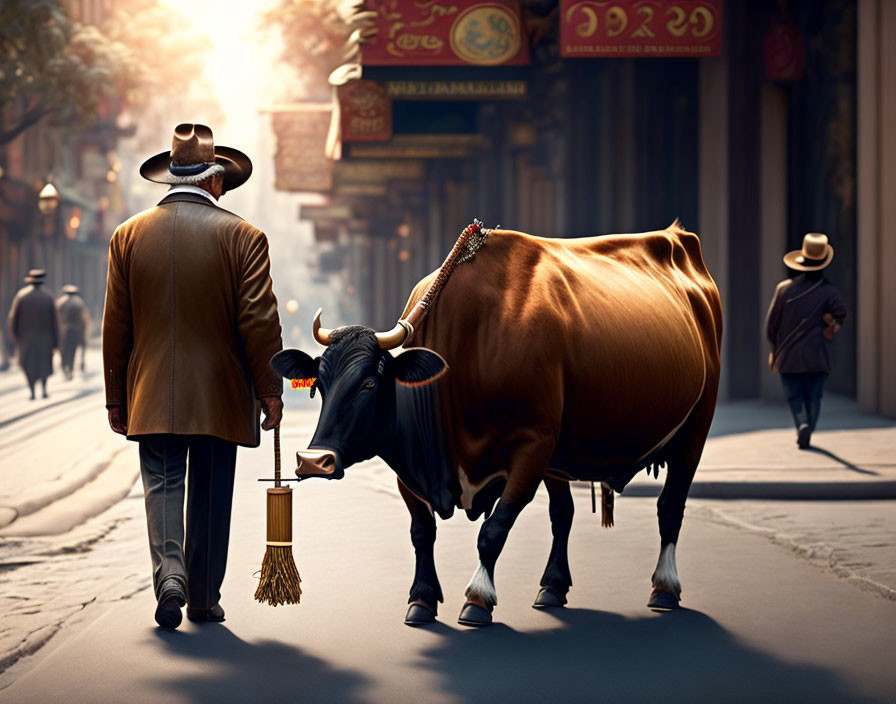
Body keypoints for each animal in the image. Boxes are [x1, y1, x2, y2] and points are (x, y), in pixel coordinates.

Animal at [272, 221, 720, 628]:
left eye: (368, 382)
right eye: (319, 385)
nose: (313, 460)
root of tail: (678, 238)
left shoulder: (532, 446)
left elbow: (494, 529)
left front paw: (477, 598)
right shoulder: (409, 465)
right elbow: (422, 532)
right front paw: (421, 600)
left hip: (695, 429)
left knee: (670, 506)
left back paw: (665, 588)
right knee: (564, 512)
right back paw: (552, 587)